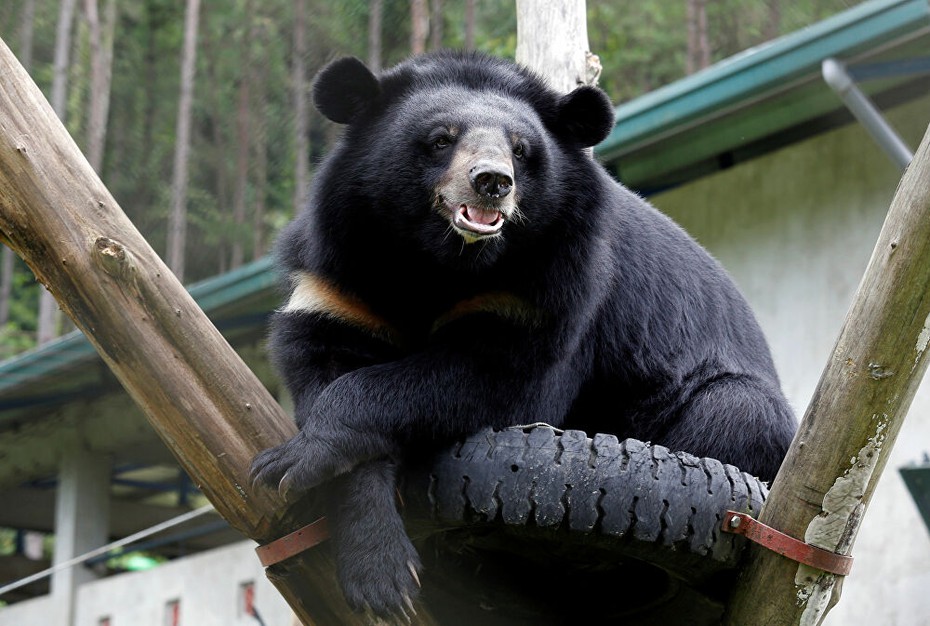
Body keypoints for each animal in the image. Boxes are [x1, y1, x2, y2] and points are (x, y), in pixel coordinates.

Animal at [250, 48, 792, 616]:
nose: (492, 182)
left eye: (521, 150)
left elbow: (502, 381)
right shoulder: (340, 277)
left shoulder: (546, 288)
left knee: (730, 415)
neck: (439, 262)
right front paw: (379, 570)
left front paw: (293, 462)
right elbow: (325, 361)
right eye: (441, 139)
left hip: (732, 416)